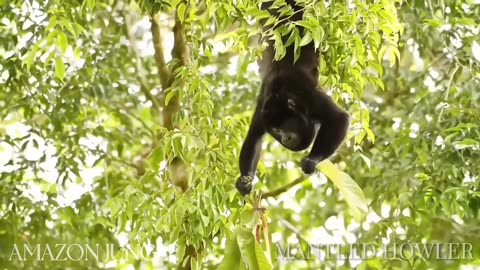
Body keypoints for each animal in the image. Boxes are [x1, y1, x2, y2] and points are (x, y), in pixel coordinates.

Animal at [235, 0, 350, 195]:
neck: (282, 95)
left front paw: (312, 159)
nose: (284, 139)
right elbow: (254, 138)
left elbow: (339, 118)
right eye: (276, 130)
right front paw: (244, 181)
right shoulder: (263, 110)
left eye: (283, 126)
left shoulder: (308, 95)